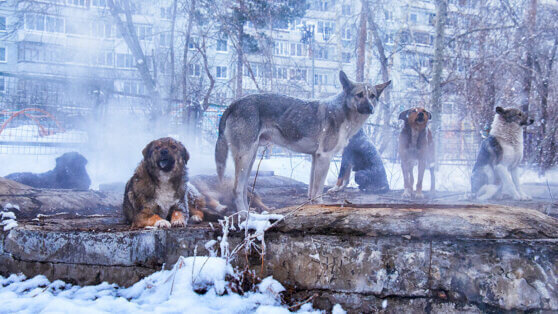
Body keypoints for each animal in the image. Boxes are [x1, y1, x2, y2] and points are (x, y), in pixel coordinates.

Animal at [217, 71, 392, 212]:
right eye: (359, 95)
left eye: (372, 96)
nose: (370, 108)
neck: (342, 112)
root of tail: (235, 103)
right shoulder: (324, 157)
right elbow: (319, 190)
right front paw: (320, 205)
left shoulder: (315, 158)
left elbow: (311, 190)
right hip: (246, 158)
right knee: (236, 190)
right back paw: (244, 215)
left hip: (250, 159)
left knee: (243, 190)